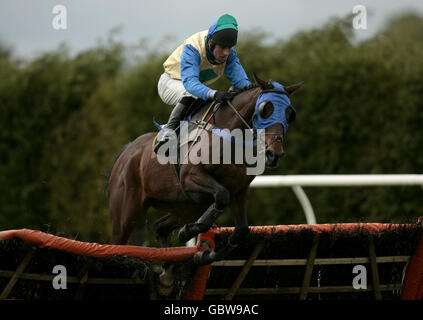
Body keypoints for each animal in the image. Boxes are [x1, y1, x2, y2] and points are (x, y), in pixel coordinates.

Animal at [107, 74, 304, 292]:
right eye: (265, 109)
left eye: (289, 113)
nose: (274, 154)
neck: (231, 138)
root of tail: (126, 152)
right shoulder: (190, 177)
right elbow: (221, 196)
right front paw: (190, 231)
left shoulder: (240, 190)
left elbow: (241, 230)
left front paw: (207, 251)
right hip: (127, 212)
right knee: (117, 242)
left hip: (186, 208)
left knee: (160, 227)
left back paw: (167, 273)